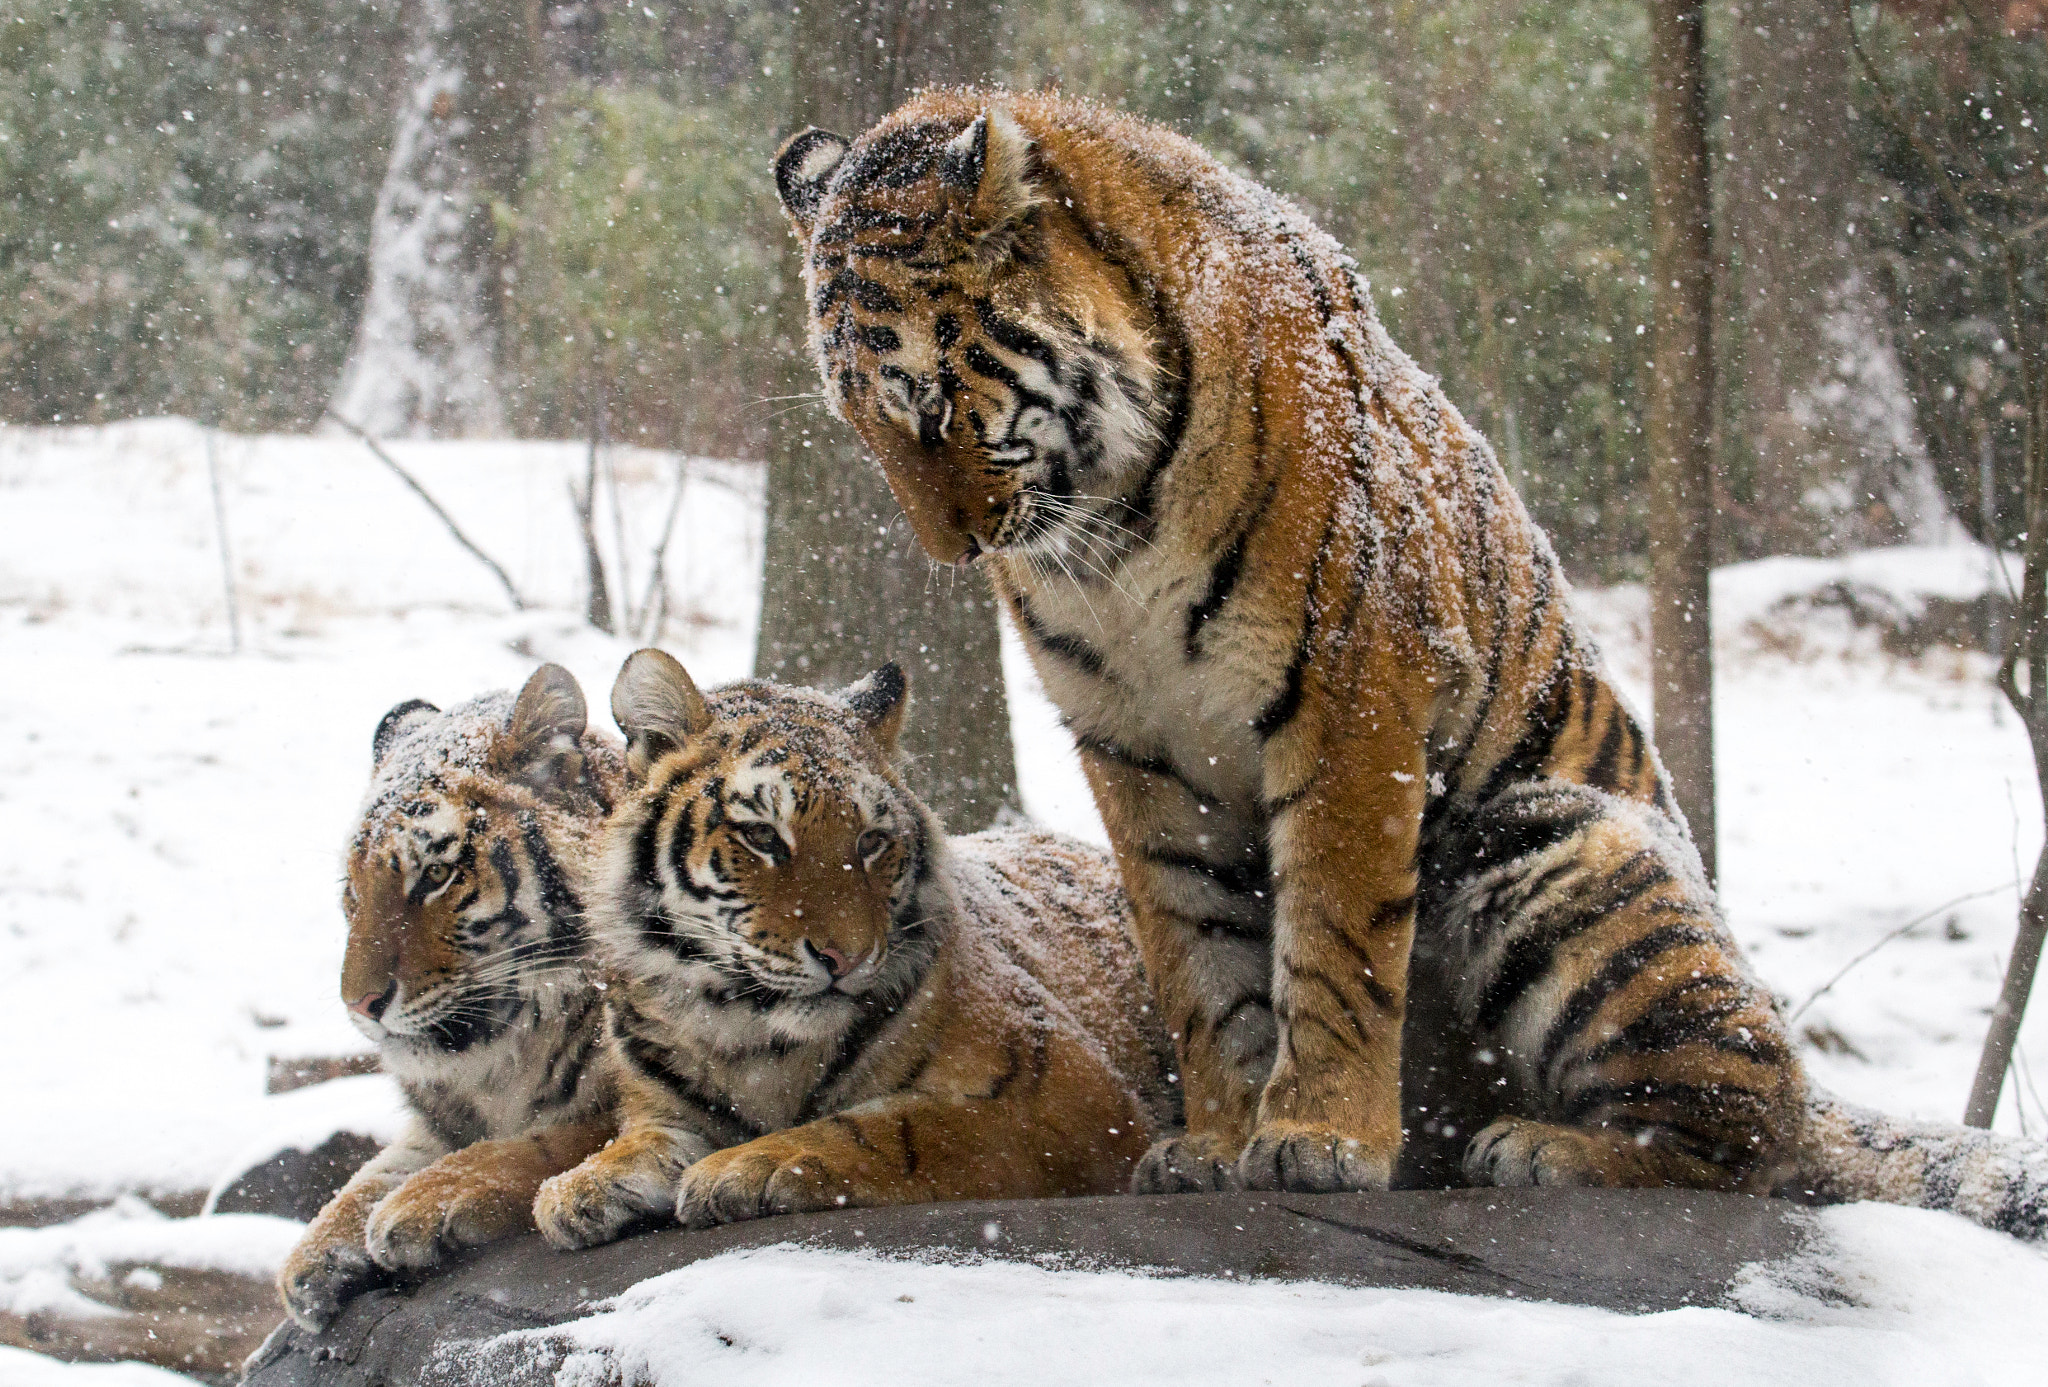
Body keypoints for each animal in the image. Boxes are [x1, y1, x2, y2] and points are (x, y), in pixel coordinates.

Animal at [278, 665, 622, 1330]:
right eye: (352, 890)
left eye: (435, 875)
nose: (359, 1004)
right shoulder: (439, 1118)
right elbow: (374, 1170)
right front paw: (312, 1257)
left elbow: (560, 1138)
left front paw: (426, 1202)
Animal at [532, 649, 1175, 1246]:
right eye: (762, 836)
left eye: (870, 842)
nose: (848, 959)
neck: (752, 1040)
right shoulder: (659, 1099)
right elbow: (643, 1137)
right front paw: (578, 1185)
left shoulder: (1070, 1095)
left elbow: (901, 1124)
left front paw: (749, 1165)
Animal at [768, 88, 2048, 1236]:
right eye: (859, 424)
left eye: (932, 405)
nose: (953, 551)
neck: (1111, 526)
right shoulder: (1133, 744)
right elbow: (1195, 955)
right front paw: (1219, 1138)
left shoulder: (1347, 692)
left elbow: (1332, 937)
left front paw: (1318, 1135)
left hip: (1551, 837)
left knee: (1754, 1131)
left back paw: (1542, 1148)